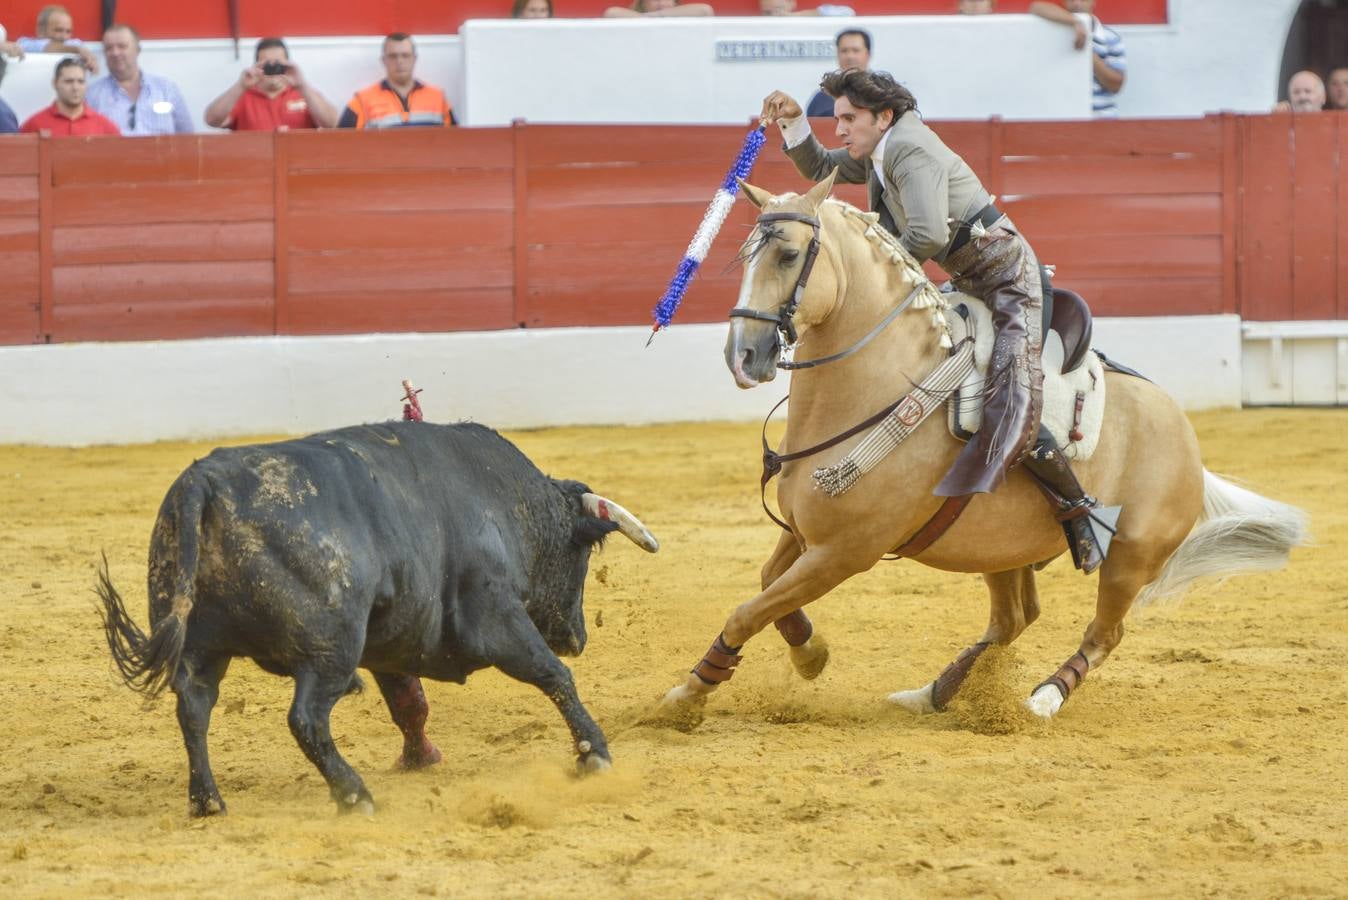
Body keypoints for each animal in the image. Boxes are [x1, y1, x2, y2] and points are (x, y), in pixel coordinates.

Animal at [99, 423, 657, 813]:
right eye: (581, 555)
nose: (576, 637)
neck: (510, 503)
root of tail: (202, 485)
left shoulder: (395, 644)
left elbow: (407, 704)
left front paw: (419, 759)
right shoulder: (495, 615)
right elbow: (552, 675)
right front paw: (595, 754)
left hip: (201, 647)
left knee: (194, 708)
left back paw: (208, 801)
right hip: (331, 648)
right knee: (305, 718)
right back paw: (354, 795)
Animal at [660, 175, 1304, 722]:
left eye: (789, 255)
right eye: (745, 254)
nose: (743, 355)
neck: (880, 383)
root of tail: (1185, 436)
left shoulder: (846, 551)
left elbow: (750, 607)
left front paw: (689, 693)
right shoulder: (803, 534)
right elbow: (768, 588)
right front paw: (809, 652)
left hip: (1129, 558)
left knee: (1103, 633)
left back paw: (1042, 698)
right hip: (999, 549)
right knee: (1013, 618)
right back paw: (932, 693)